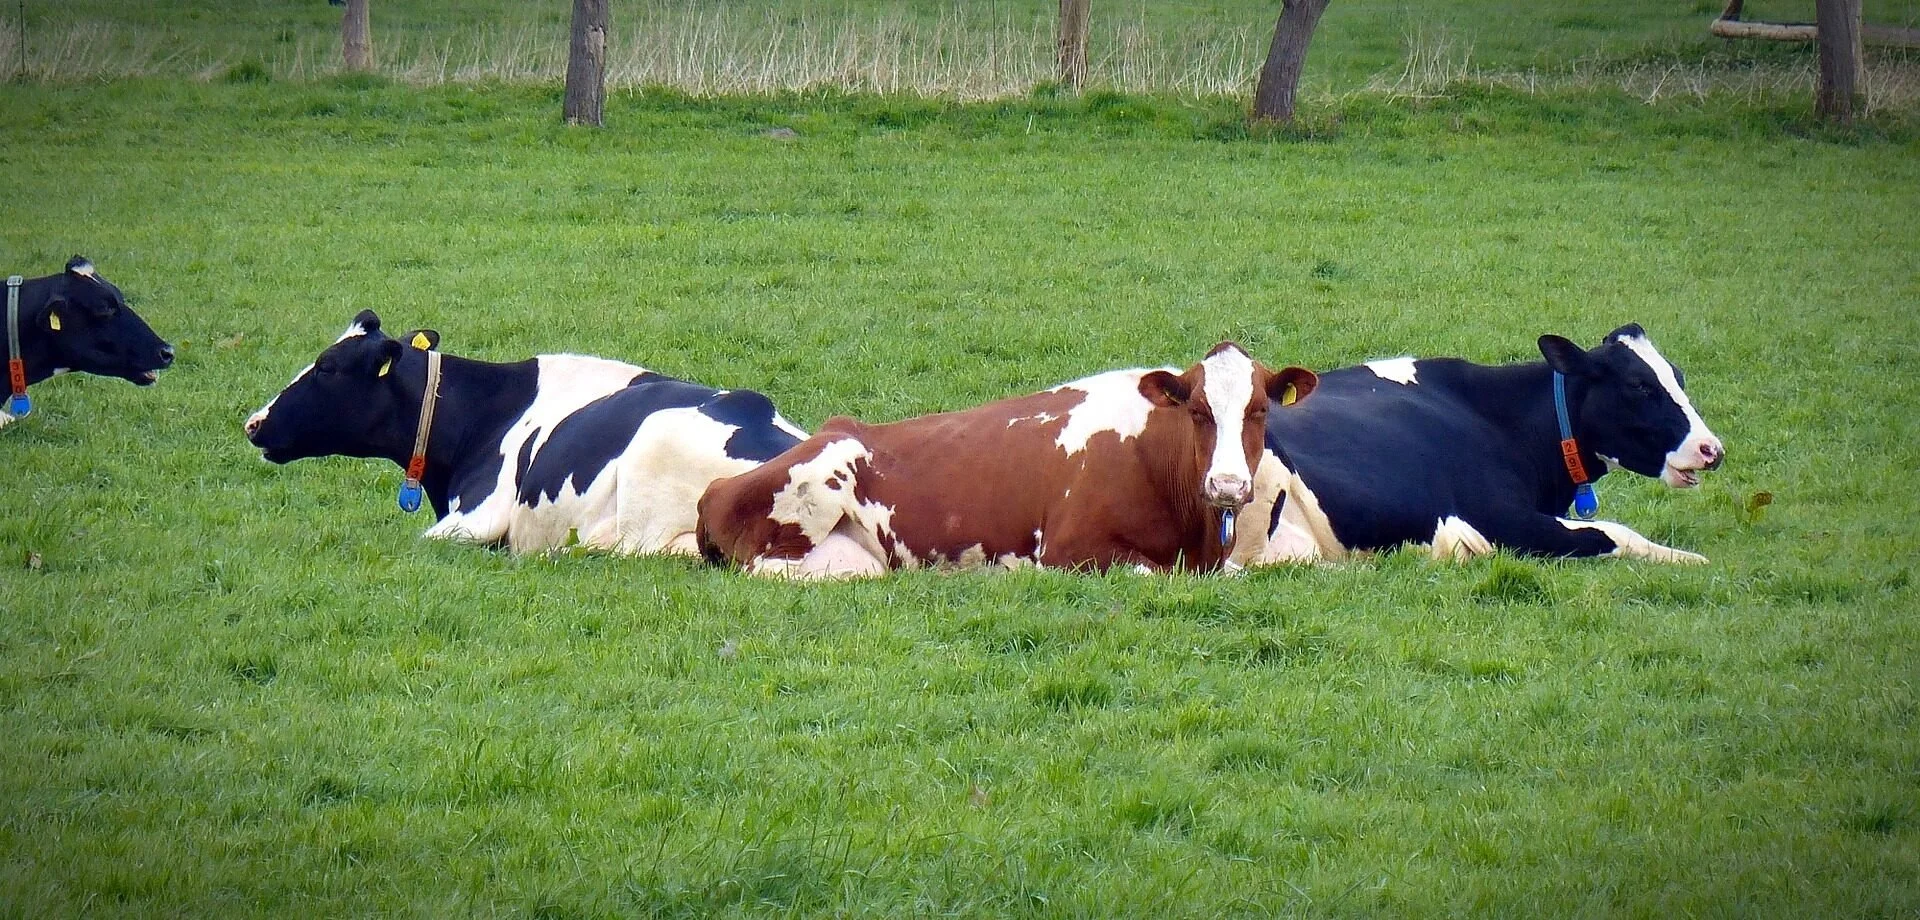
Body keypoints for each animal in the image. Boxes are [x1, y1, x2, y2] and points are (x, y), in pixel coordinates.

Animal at [697, 342, 1319, 578]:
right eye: (1197, 411)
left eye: (1260, 410)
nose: (1229, 485)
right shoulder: (1071, 550)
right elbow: (1150, 572)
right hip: (821, 483)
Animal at [1241, 323, 1724, 567]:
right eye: (1639, 385)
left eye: (1679, 376)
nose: (1711, 449)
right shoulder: (1502, 520)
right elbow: (1616, 532)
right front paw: (1690, 558)